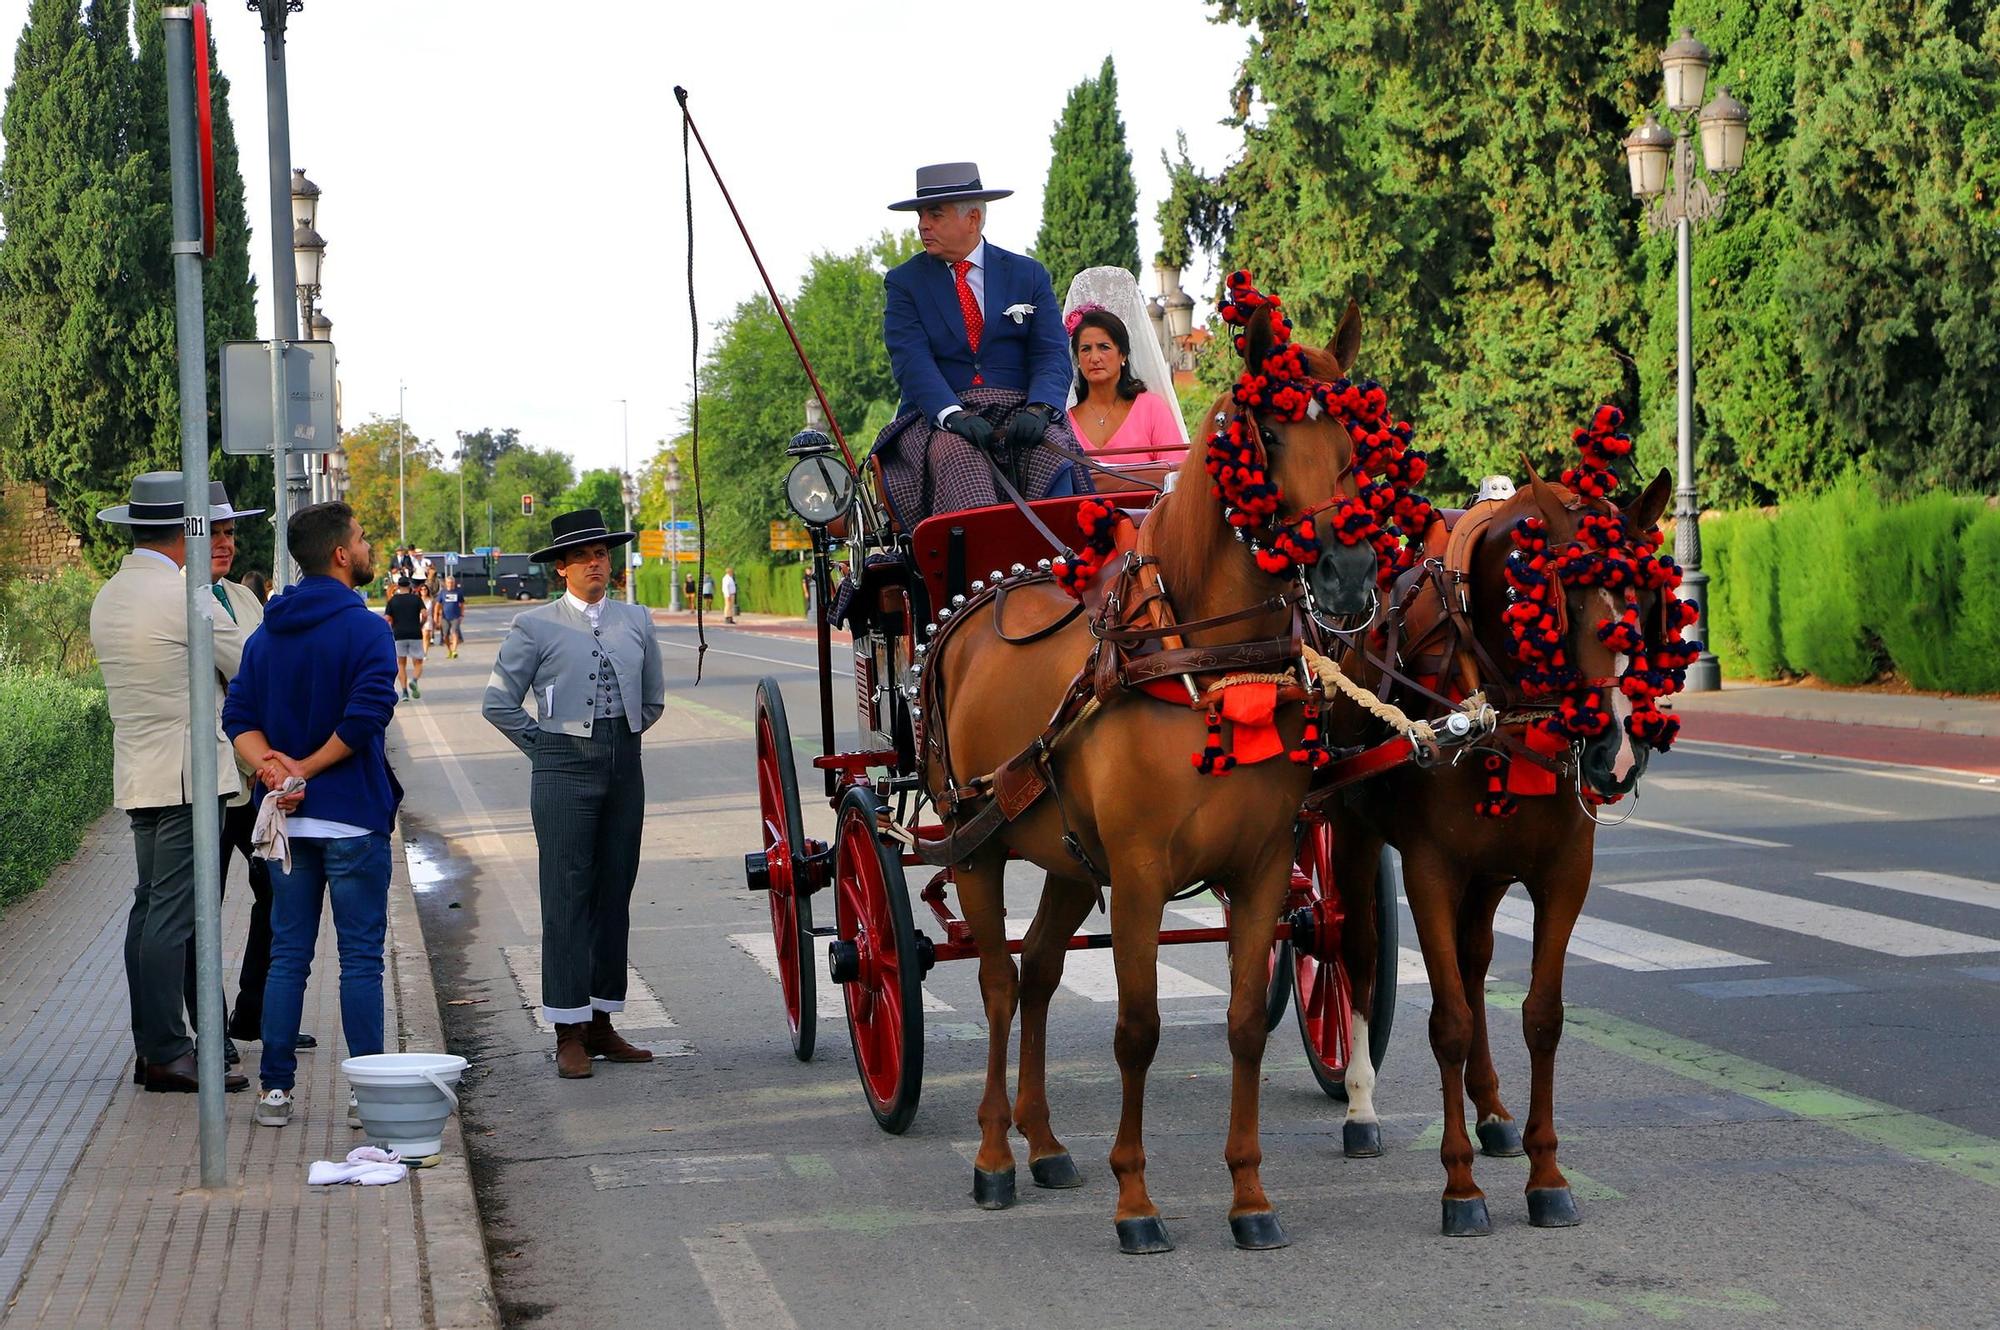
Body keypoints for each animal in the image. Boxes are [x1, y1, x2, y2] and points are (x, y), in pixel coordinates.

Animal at [924, 300, 1376, 1256]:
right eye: (1267, 432)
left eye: (1353, 438)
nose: (1348, 574)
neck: (1203, 661)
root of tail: (978, 602)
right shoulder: (1136, 876)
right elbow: (1137, 1029)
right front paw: (1135, 1202)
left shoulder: (1262, 870)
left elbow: (1243, 1026)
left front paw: (1249, 1197)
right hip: (978, 845)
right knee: (996, 986)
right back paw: (995, 1156)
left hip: (1062, 854)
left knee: (1039, 973)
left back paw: (1045, 1143)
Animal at [1320, 462, 1680, 1232]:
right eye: (1554, 602)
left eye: (1648, 601)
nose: (1617, 754)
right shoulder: (1428, 869)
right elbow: (1449, 1021)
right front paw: (1460, 1189)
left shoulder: (1565, 871)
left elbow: (1541, 1017)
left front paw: (1547, 1176)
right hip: (1351, 829)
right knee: (1354, 952)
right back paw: (1361, 1106)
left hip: (1487, 872)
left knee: (1475, 958)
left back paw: (1490, 1112)